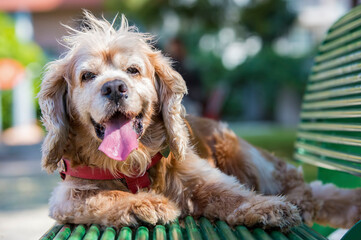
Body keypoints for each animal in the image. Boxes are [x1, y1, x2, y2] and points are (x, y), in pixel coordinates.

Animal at [38, 11, 360, 231]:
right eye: (87, 76)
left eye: (133, 70)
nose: (115, 87)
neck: (132, 164)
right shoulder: (67, 195)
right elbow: (101, 197)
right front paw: (145, 203)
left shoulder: (201, 176)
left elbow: (232, 194)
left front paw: (268, 207)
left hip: (241, 153)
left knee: (297, 180)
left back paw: (300, 201)